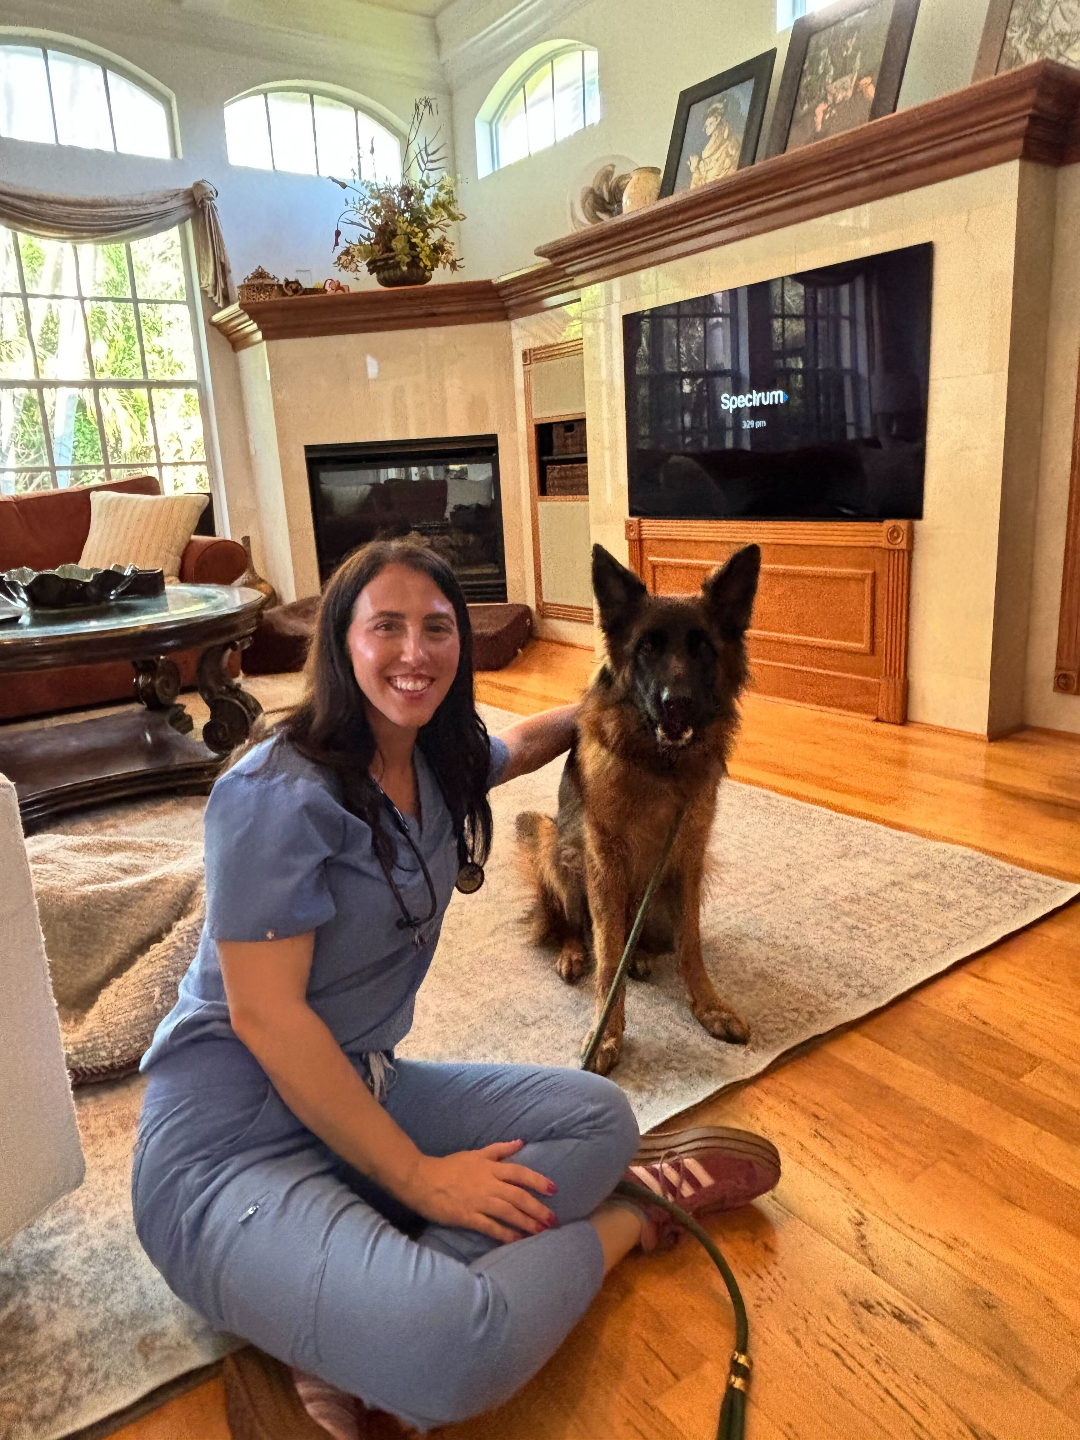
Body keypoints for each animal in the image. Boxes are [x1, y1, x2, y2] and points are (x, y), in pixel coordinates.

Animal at [516, 542, 761, 1075]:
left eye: (703, 648)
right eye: (647, 648)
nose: (677, 704)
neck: (661, 766)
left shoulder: (689, 857)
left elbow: (690, 944)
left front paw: (708, 1006)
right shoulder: (604, 861)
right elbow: (608, 951)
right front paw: (606, 1034)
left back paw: (644, 955)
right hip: (553, 841)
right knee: (573, 925)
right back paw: (573, 953)